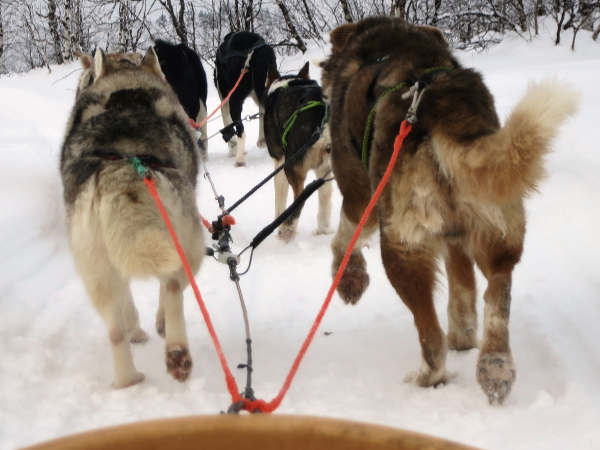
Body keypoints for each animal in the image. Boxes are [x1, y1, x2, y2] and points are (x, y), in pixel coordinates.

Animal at [62, 48, 204, 386]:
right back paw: (175, 349)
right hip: (189, 246)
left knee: (115, 330)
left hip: (96, 268)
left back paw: (128, 380)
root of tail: (126, 161)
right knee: (173, 290)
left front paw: (135, 332)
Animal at [213, 30, 276, 166]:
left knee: (240, 129)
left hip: (235, 99)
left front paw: (232, 148)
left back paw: (239, 158)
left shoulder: (224, 98)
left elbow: (228, 124)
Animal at [264, 61, 336, 241]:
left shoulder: (280, 163)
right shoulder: (323, 170)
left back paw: (286, 230)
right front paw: (324, 230)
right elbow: (325, 199)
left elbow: (279, 203)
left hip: (291, 168)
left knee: (299, 201)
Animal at [322, 16, 580, 404]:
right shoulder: (457, 238)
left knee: (431, 336)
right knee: (497, 293)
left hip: (402, 247)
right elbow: (463, 289)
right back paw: (495, 366)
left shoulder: (360, 196)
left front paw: (349, 275)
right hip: (496, 227)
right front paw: (464, 334)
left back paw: (427, 376)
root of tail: (445, 105)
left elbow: (343, 237)